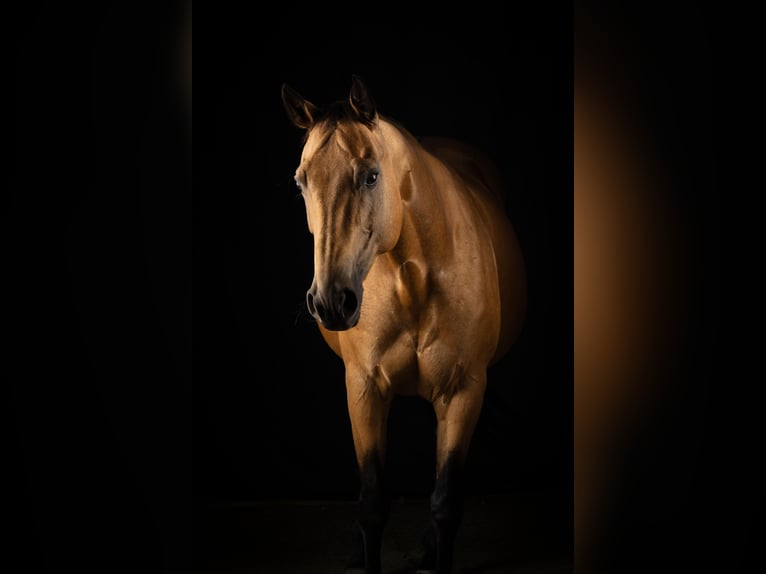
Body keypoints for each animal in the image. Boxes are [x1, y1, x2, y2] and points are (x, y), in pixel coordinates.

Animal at [281, 76, 527, 574]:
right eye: (301, 181)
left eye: (371, 175)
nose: (331, 302)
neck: (412, 278)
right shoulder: (364, 389)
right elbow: (372, 501)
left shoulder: (463, 390)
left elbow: (445, 501)